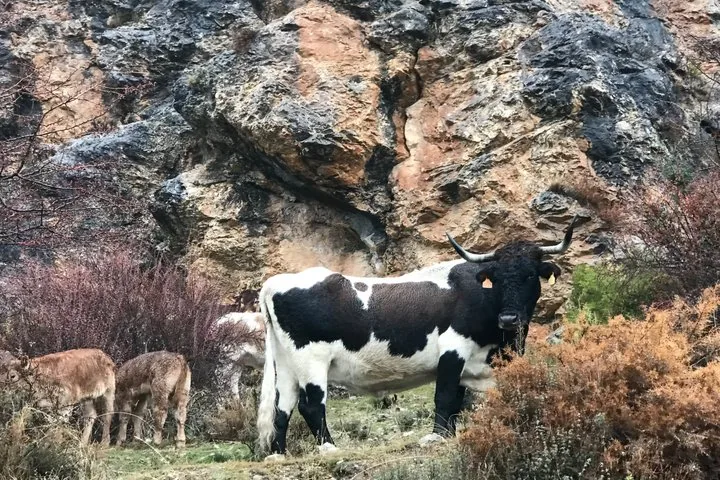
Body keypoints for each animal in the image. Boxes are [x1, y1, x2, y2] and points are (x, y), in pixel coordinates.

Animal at [256, 217, 578, 455]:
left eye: (530, 275)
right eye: (495, 279)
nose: (509, 318)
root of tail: (276, 282)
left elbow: (457, 401)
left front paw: (449, 435)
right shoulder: (453, 349)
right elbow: (445, 396)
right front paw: (436, 437)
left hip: (287, 364)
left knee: (282, 408)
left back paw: (279, 454)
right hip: (311, 359)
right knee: (310, 405)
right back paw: (329, 448)